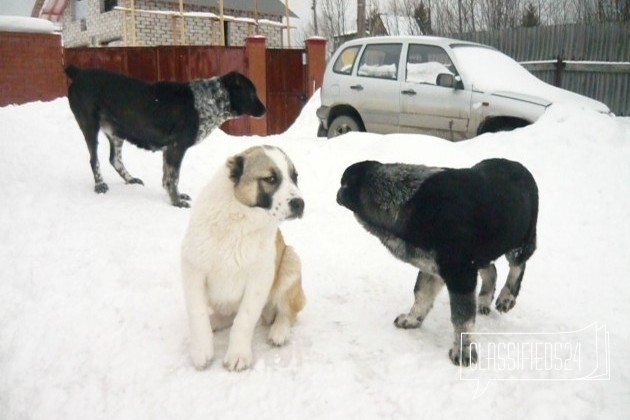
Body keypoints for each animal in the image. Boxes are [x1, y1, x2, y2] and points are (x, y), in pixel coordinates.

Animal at [66, 65, 266, 208]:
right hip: (90, 126)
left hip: (116, 134)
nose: (265, 110)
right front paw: (176, 202)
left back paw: (130, 179)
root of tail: (79, 73)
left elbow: (167, 177)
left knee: (114, 159)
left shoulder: (168, 150)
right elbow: (173, 178)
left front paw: (174, 197)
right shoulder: (176, 147)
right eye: (251, 92)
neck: (210, 100)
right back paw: (100, 185)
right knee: (94, 160)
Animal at [181, 145, 308, 370]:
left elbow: (244, 320)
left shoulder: (259, 279)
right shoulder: (193, 268)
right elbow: (197, 314)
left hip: (291, 260)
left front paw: (238, 354)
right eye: (270, 179)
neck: (241, 217)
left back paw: (279, 330)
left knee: (288, 314)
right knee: (227, 314)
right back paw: (215, 321)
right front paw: (201, 350)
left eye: (295, 177)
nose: (300, 204)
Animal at [338, 159, 540, 366]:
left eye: (343, 183)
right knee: (491, 269)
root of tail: (520, 166)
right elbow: (421, 294)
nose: (337, 192)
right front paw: (412, 319)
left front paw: (464, 352)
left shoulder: (461, 275)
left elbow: (462, 317)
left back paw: (506, 298)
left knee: (517, 267)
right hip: (483, 253)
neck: (405, 200)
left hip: (520, 241)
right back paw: (484, 300)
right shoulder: (432, 266)